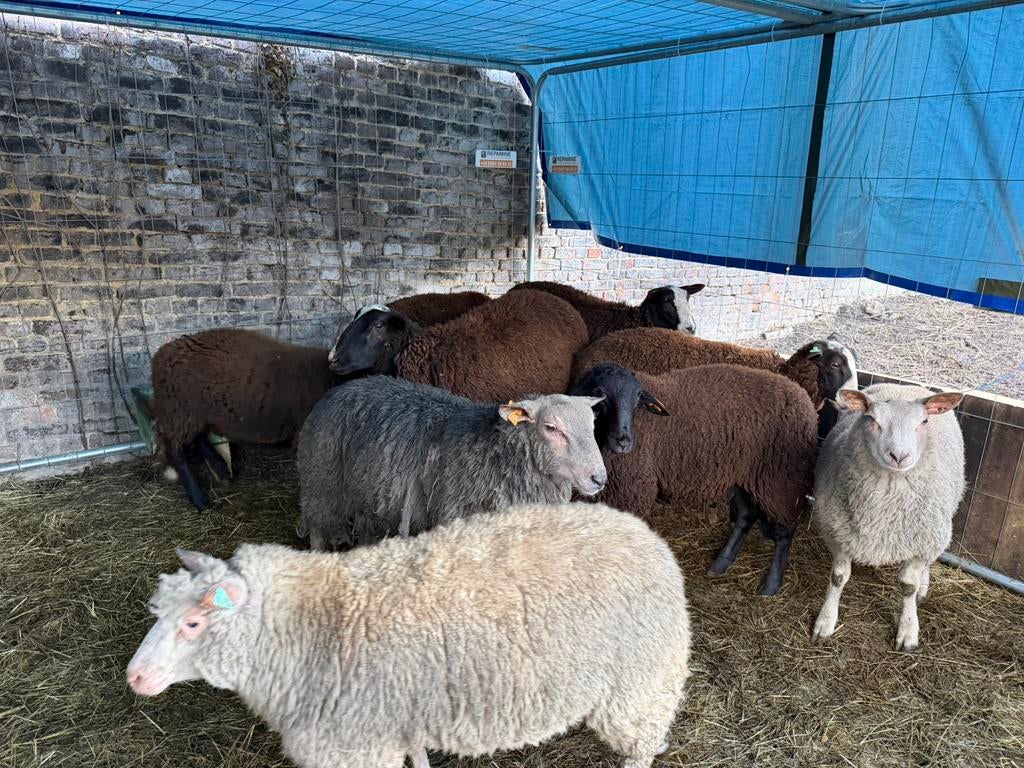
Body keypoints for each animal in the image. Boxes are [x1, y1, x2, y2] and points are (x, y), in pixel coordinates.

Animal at [127, 503, 691, 768]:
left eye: (193, 622)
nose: (134, 677)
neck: (315, 626)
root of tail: (649, 537)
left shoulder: (357, 746)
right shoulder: (398, 721)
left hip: (638, 681)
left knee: (643, 741)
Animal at [151, 328, 338, 511]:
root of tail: (162, 352)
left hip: (194, 414)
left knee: (199, 438)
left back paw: (221, 470)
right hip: (178, 411)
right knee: (176, 453)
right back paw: (200, 499)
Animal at [297, 374, 607, 550]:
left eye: (593, 425)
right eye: (551, 428)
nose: (599, 479)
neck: (496, 454)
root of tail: (342, 388)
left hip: (366, 494)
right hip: (321, 483)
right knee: (317, 530)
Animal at [569, 363, 818, 595]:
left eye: (638, 396)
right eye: (599, 395)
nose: (624, 442)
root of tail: (804, 397)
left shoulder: (633, 488)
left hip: (782, 479)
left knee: (784, 532)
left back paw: (771, 584)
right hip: (741, 474)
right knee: (746, 516)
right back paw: (721, 564)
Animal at [811, 384, 965, 651]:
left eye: (924, 421)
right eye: (871, 419)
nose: (899, 456)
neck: (883, 513)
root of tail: (905, 386)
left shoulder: (921, 541)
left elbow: (908, 586)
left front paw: (908, 630)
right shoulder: (837, 533)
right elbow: (838, 578)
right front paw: (826, 621)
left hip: (937, 530)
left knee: (929, 562)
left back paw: (924, 586)